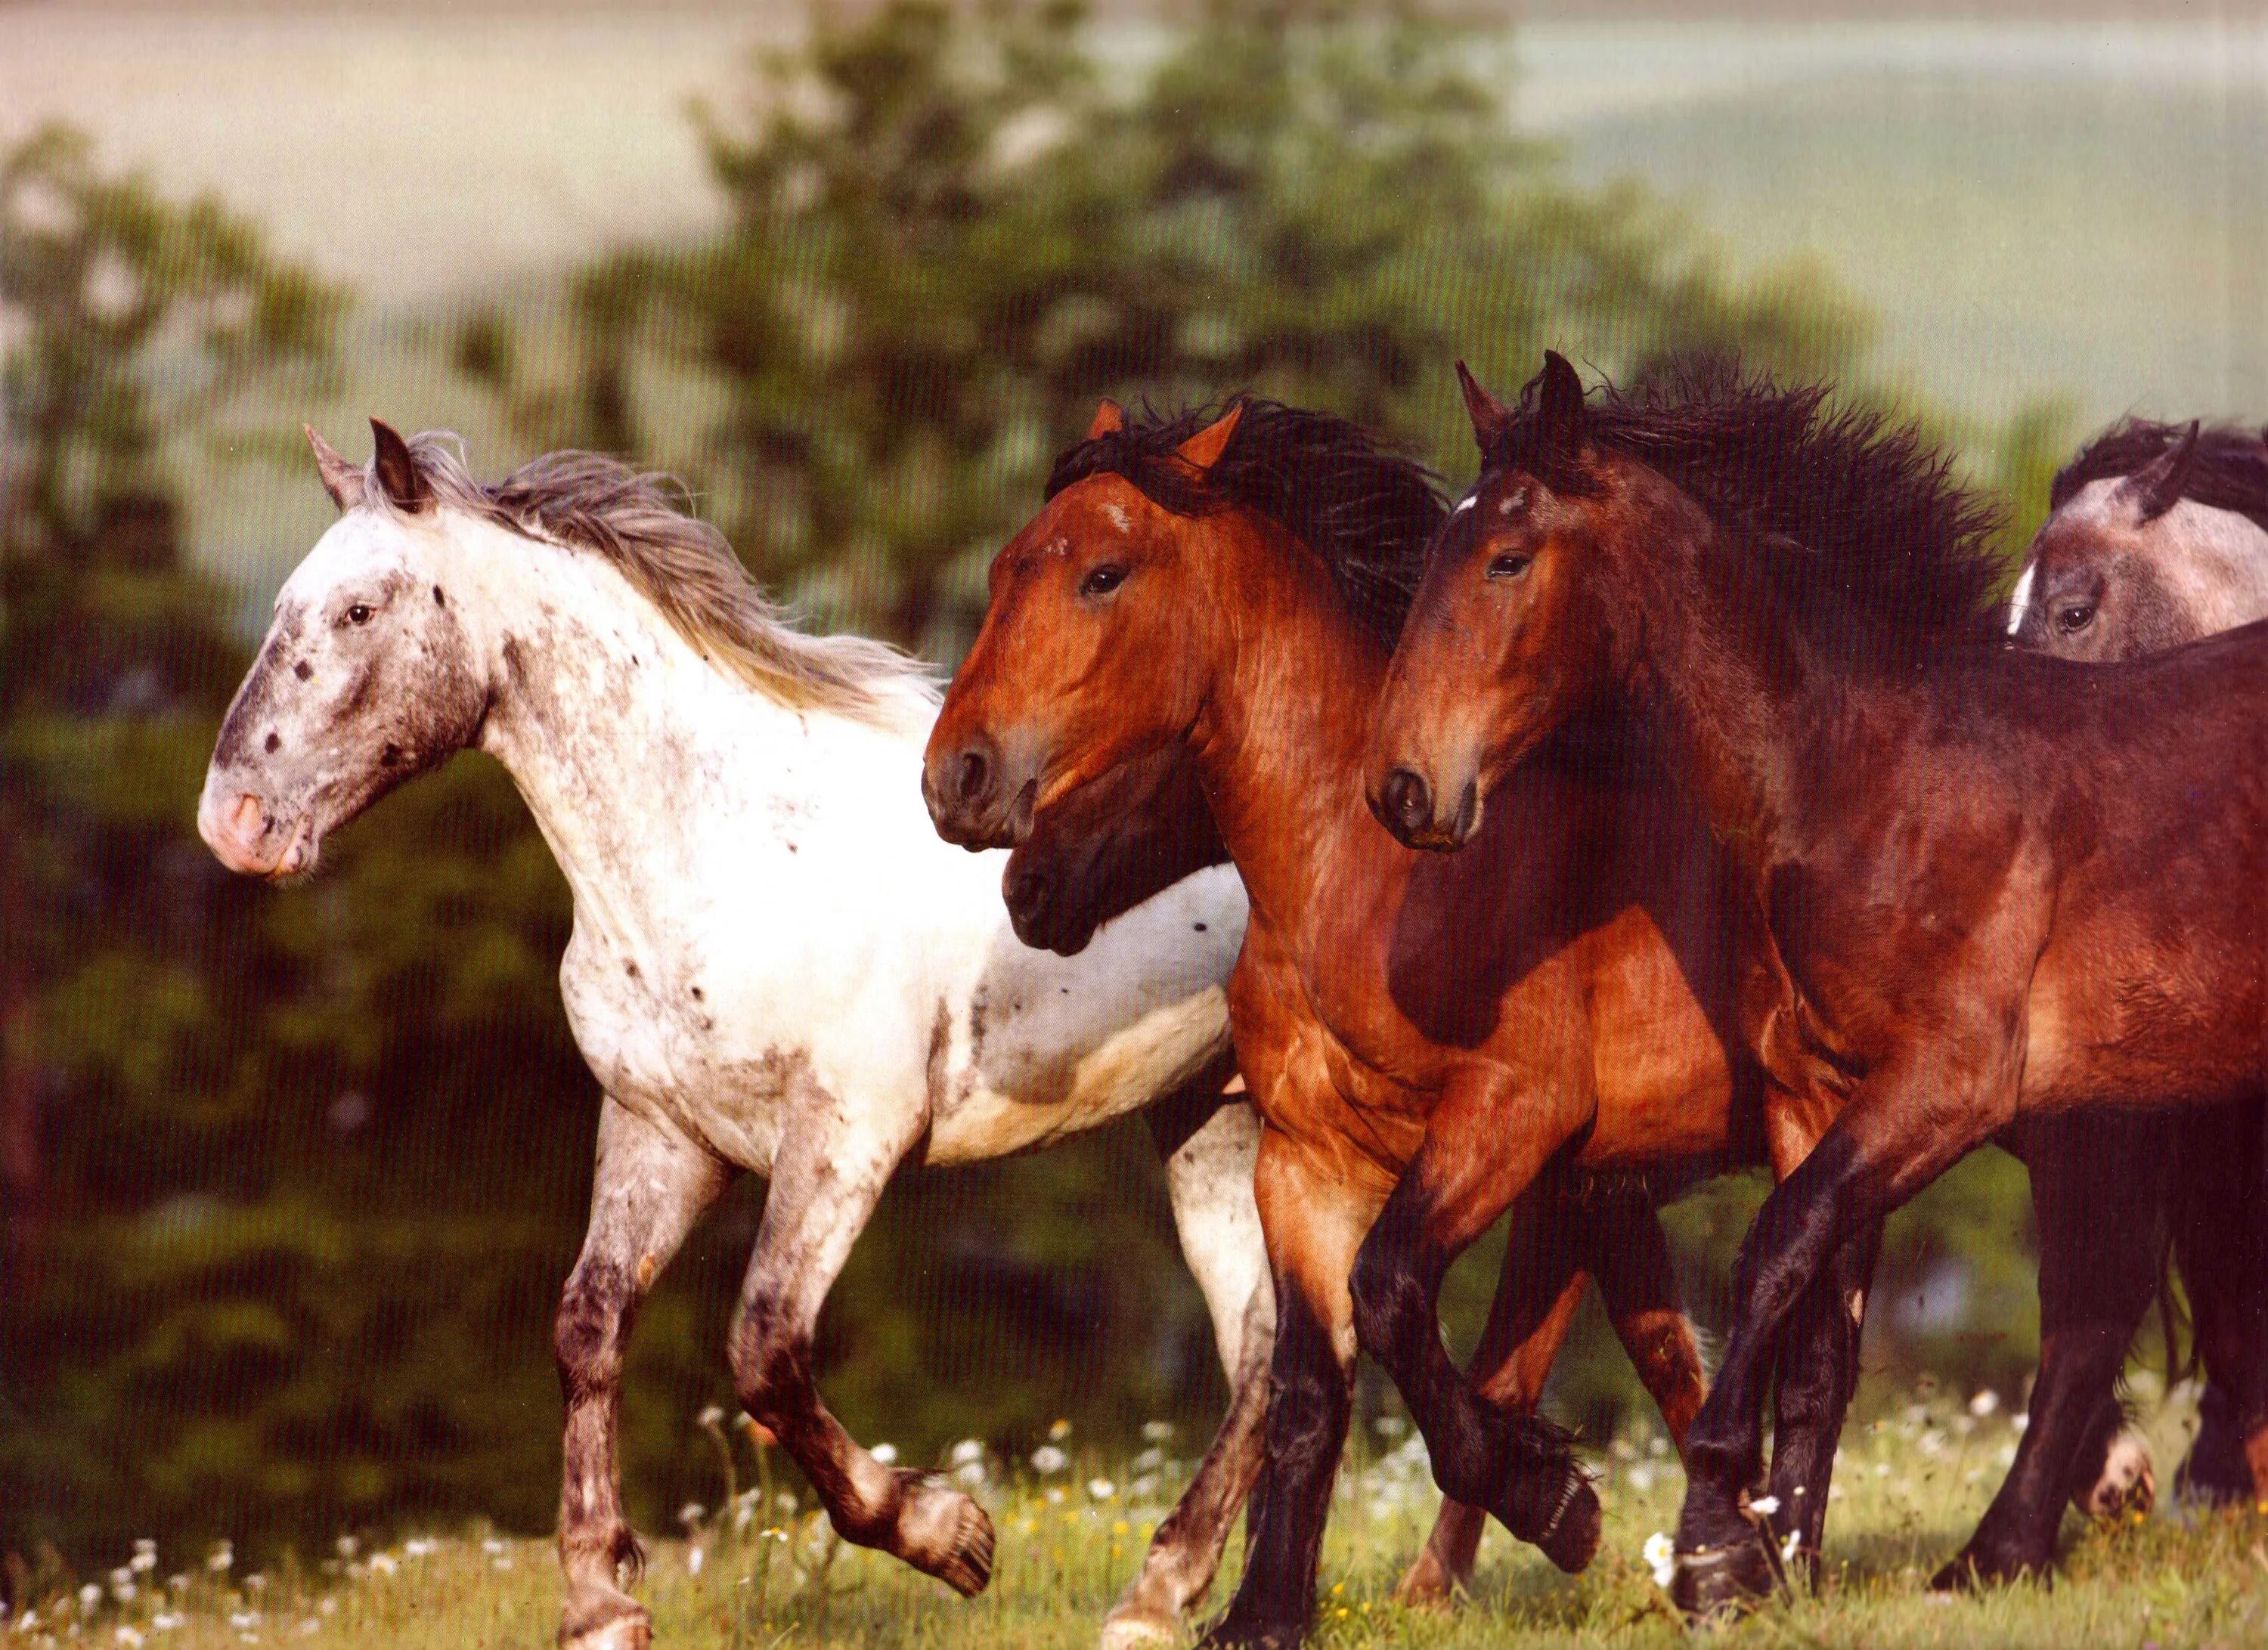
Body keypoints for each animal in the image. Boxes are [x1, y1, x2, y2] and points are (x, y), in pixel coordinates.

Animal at [197, 426, 1279, 1650]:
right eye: (286, 603)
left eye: (361, 609)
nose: (232, 821)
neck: (729, 848)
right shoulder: (664, 1133)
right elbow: (587, 1324)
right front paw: (601, 1602)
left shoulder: (849, 1137)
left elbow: (763, 1344)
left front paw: (952, 1535)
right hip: (1210, 1119)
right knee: (1269, 1346)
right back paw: (1166, 1595)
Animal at [1361, 353, 2268, 1614]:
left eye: (1506, 557)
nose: (1403, 787)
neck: (1865, 780)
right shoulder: (1818, 1092)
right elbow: (1817, 1325)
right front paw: (1768, 1551)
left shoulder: (1947, 1085)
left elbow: (1775, 1250)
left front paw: (1712, 1532)